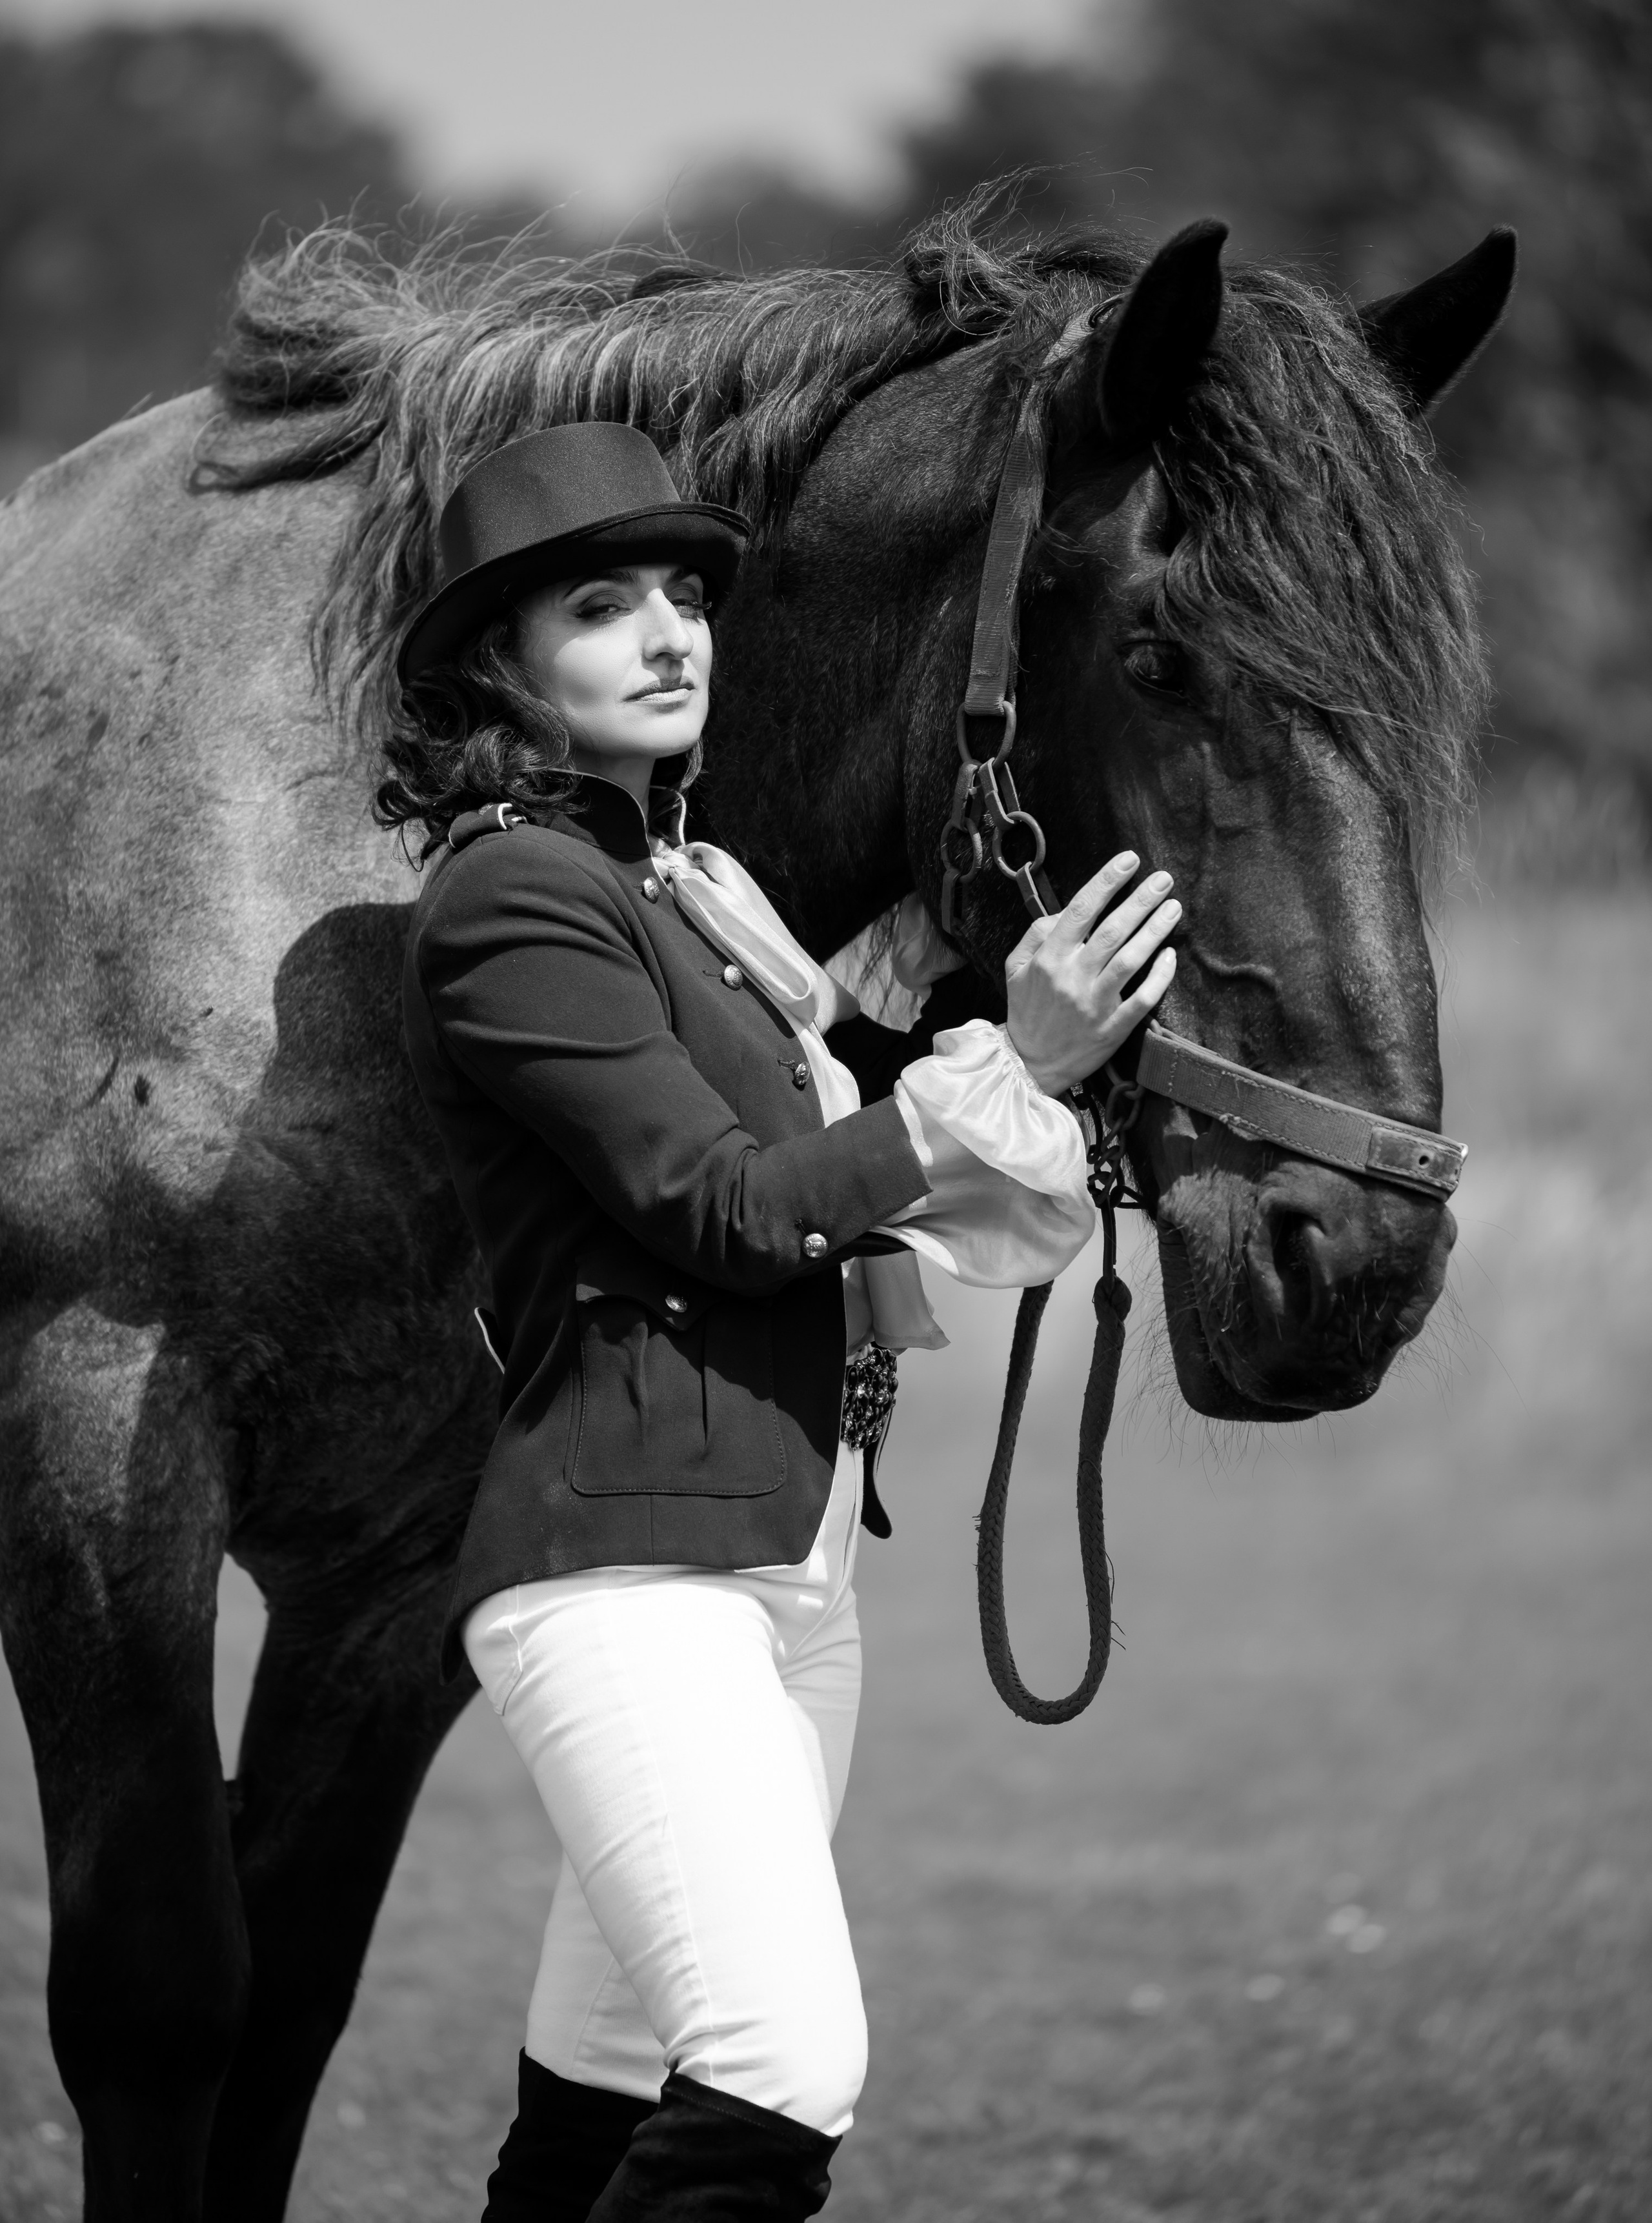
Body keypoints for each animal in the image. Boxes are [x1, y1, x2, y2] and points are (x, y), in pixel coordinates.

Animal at [0, 199, 1513, 2218]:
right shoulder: (95, 1451)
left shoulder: (395, 1580)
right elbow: (166, 2001)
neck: (318, 884)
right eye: (1160, 654)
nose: (1353, 1259)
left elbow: (292, 1995)